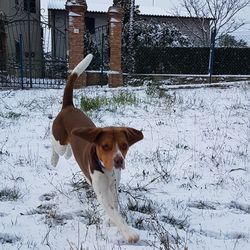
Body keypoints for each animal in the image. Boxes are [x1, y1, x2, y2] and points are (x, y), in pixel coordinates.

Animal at [50, 54, 144, 242]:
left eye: (124, 146)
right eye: (105, 146)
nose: (118, 161)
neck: (107, 170)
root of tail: (68, 107)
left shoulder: (113, 187)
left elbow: (115, 206)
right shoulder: (101, 192)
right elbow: (114, 213)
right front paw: (128, 233)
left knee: (67, 152)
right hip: (59, 141)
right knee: (56, 147)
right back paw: (54, 159)